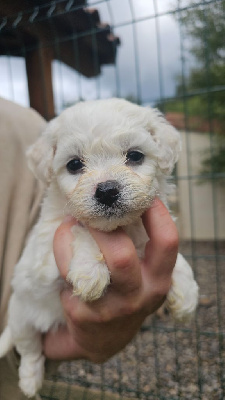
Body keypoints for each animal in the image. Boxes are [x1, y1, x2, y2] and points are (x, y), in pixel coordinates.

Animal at [0, 99, 199, 396]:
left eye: (135, 156)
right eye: (74, 164)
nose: (106, 191)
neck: (122, 229)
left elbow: (177, 259)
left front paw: (186, 295)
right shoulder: (43, 251)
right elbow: (82, 228)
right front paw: (90, 274)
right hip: (22, 315)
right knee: (30, 349)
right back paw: (29, 380)